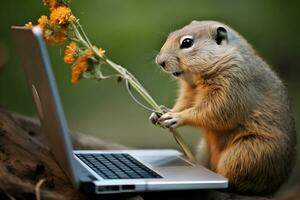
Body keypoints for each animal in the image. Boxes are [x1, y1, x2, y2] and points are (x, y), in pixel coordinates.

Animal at [151, 20, 296, 195]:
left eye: (187, 42)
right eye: (171, 34)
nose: (160, 61)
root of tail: (275, 188)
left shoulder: (231, 86)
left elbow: (214, 111)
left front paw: (176, 117)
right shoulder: (189, 92)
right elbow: (184, 104)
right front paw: (160, 112)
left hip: (244, 155)